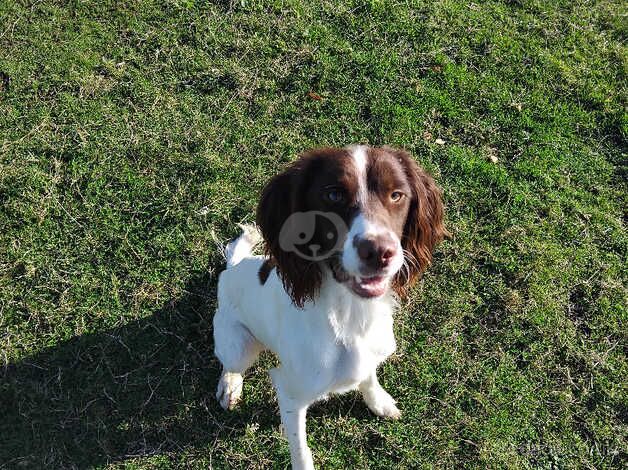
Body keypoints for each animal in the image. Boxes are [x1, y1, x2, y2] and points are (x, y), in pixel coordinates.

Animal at [212, 145, 446, 468]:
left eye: (396, 194)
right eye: (333, 195)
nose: (380, 252)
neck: (351, 316)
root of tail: (233, 268)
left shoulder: (370, 356)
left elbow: (369, 378)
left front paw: (379, 402)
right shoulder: (290, 392)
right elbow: (301, 451)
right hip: (239, 345)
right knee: (230, 364)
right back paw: (230, 386)